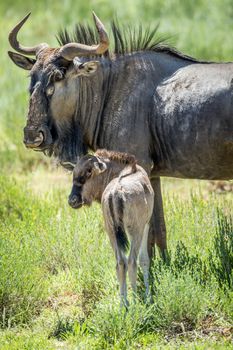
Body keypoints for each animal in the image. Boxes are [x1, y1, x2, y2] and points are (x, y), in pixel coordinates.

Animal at [68, 150, 154, 306]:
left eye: (89, 171)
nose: (72, 200)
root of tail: (116, 192)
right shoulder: (146, 225)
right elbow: (144, 259)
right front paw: (148, 296)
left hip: (111, 232)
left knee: (120, 263)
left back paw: (123, 304)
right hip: (135, 231)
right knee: (132, 261)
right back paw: (136, 302)